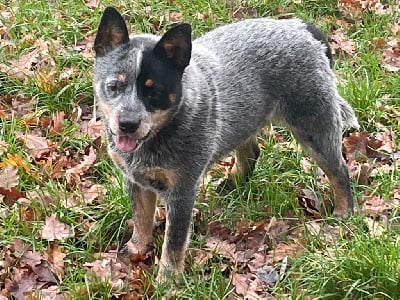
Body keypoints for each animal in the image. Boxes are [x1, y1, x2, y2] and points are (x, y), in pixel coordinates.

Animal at [94, 5, 360, 280]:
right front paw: (136, 249)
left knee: (339, 169)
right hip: (244, 117)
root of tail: (302, 27)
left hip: (313, 125)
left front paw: (168, 279)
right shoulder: (135, 180)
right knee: (251, 151)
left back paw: (344, 212)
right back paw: (233, 182)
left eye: (154, 91)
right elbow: (141, 219)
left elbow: (173, 242)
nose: (127, 123)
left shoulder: (182, 191)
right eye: (114, 86)